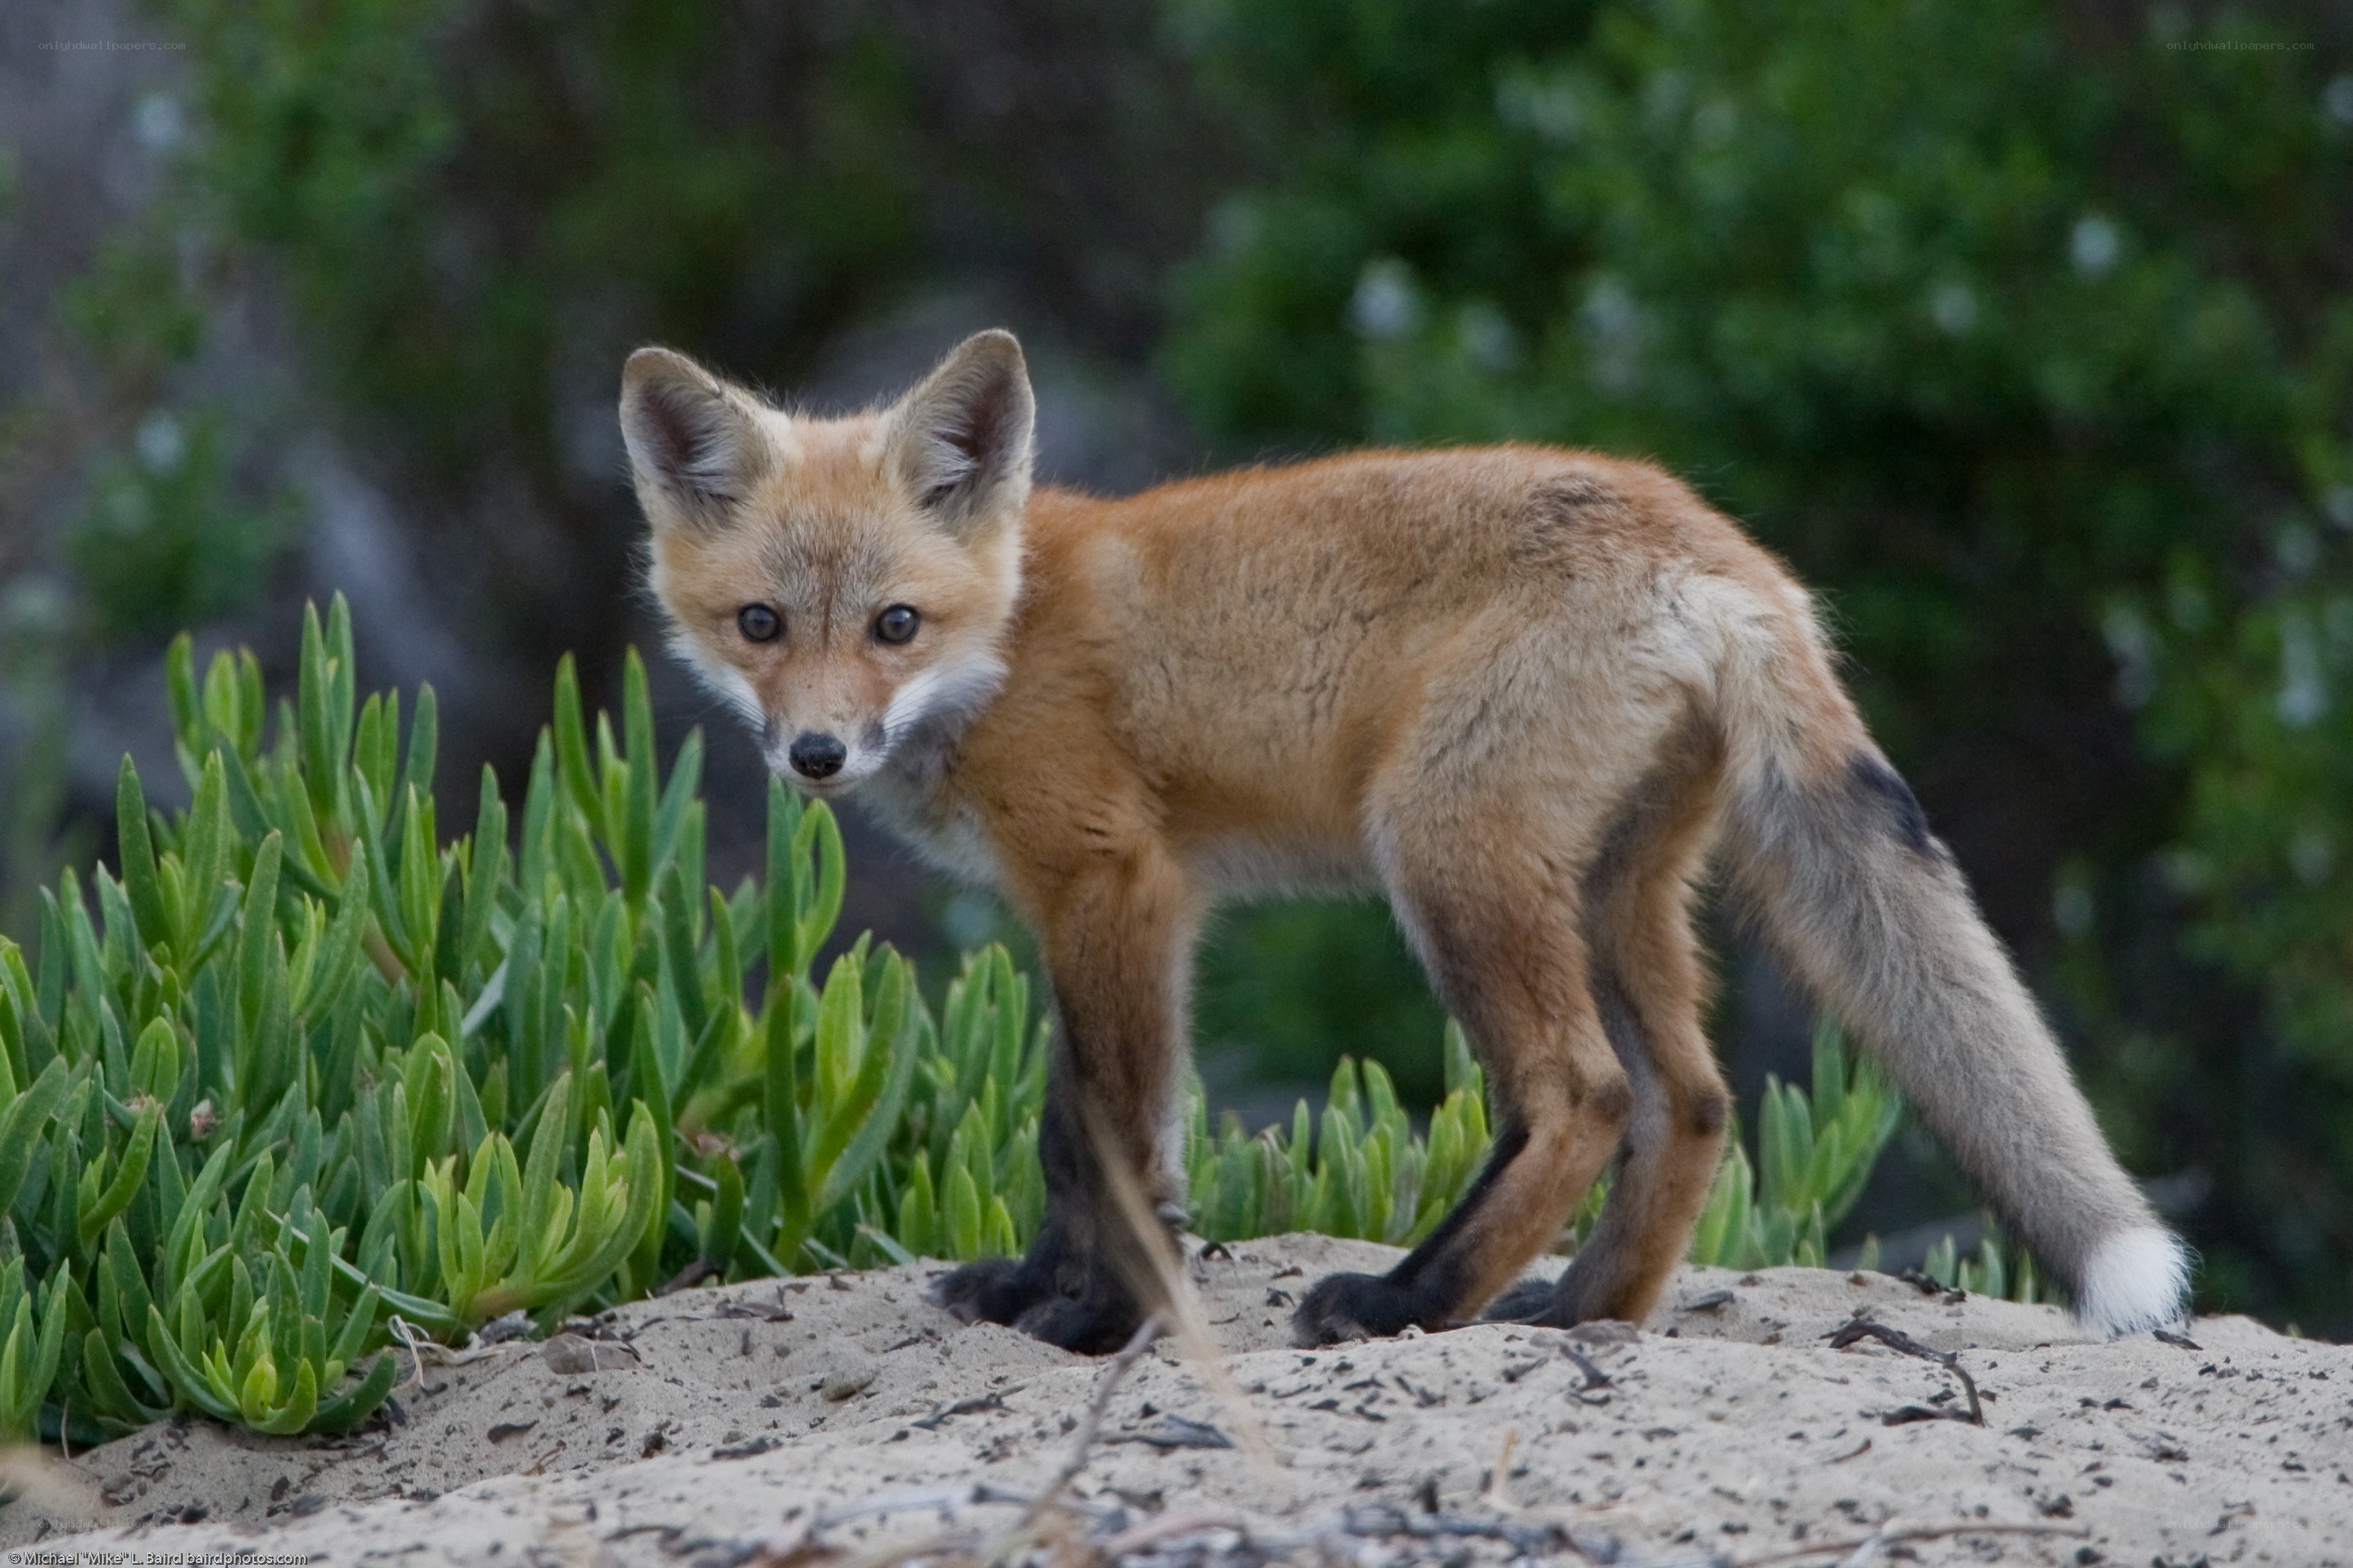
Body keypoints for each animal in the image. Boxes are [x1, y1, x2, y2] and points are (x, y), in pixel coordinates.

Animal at [619, 328, 2190, 1353]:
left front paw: (1104, 1319)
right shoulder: (1097, 905)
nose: (816, 755)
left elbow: (1117, 1138)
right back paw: (1583, 1309)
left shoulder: (1114, 880)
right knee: (1689, 1101)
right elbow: (1074, 1131)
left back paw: (1408, 1301)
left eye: (895, 623)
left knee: (1581, 1093)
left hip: (1442, 855)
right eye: (761, 623)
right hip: (1613, 887)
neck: (1009, 630)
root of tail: (1721, 551)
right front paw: (1028, 1290)